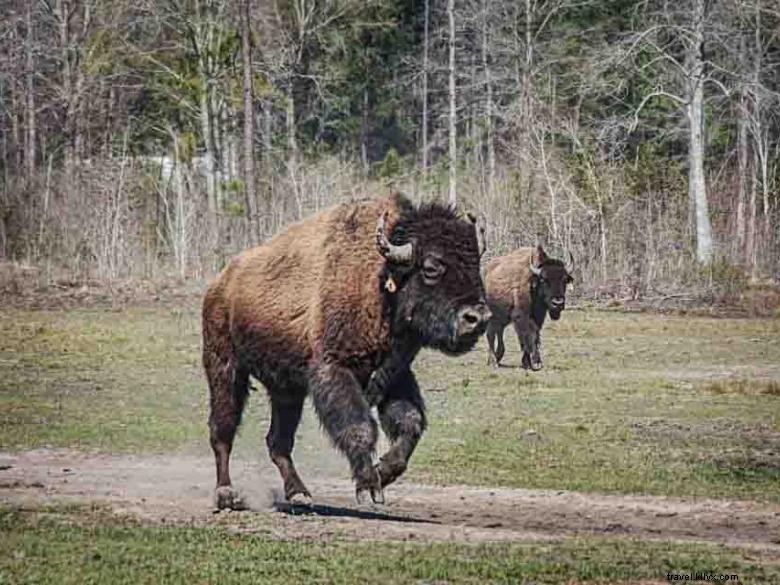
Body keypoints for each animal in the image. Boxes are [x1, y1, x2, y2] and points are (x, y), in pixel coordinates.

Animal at [202, 194, 491, 509]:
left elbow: (410, 426)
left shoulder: (394, 376)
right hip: (225, 367)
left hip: (286, 389)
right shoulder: (335, 369)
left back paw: (299, 493)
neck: (381, 283)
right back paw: (226, 493)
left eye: (476, 267)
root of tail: (220, 283)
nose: (477, 317)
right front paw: (368, 487)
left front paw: (382, 473)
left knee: (278, 442)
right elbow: (360, 428)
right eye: (431, 268)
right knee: (223, 431)